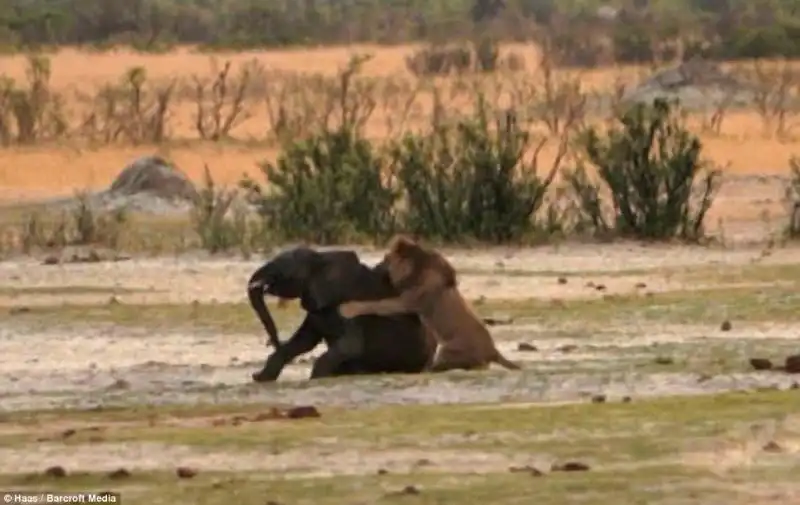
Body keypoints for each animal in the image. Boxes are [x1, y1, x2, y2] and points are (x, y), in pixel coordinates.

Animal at [247, 246, 434, 380]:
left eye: (285, 270)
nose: (273, 341)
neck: (320, 258)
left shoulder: (349, 306)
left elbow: (351, 345)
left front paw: (315, 378)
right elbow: (302, 342)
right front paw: (260, 378)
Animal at [336, 233, 520, 370]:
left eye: (385, 258)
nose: (373, 267)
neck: (416, 267)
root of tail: (494, 351)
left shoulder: (408, 301)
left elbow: (377, 304)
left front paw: (347, 309)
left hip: (448, 349)